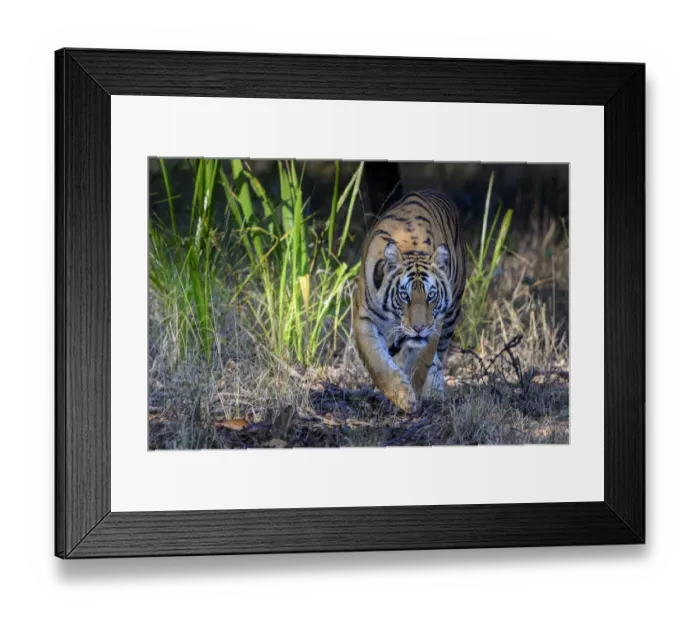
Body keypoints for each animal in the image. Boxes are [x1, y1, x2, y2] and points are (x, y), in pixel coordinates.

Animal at [352, 189, 468, 414]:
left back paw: (434, 394)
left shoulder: (434, 324)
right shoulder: (364, 317)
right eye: (404, 295)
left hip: (451, 316)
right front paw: (402, 396)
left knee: (438, 357)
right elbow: (376, 361)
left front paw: (413, 391)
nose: (419, 328)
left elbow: (421, 361)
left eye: (431, 295)